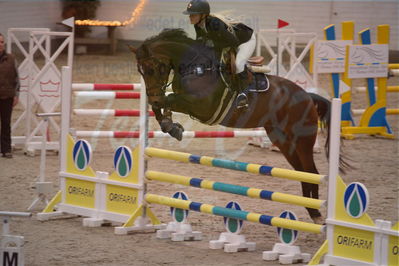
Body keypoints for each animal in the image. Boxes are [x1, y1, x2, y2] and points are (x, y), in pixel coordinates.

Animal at [130, 28, 348, 223]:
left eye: (152, 69)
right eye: (141, 71)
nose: (153, 97)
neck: (195, 66)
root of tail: (308, 97)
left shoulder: (203, 106)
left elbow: (170, 99)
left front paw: (170, 123)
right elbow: (165, 104)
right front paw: (170, 125)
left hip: (303, 140)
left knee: (312, 172)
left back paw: (317, 215)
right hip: (283, 141)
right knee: (303, 172)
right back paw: (312, 212)